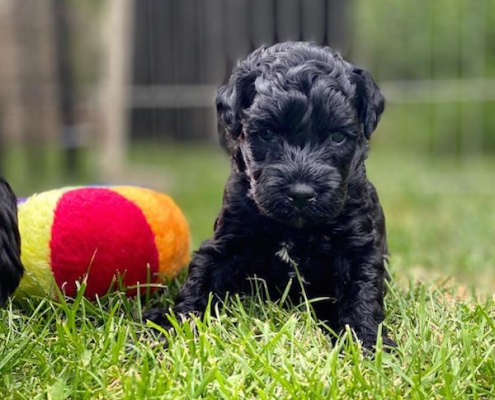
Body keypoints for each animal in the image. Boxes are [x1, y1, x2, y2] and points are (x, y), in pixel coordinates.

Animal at [145, 42, 398, 350]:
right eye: (267, 133)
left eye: (337, 137)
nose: (301, 194)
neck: (294, 229)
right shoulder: (228, 240)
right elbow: (202, 279)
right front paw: (173, 327)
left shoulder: (357, 246)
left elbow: (360, 292)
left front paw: (366, 343)